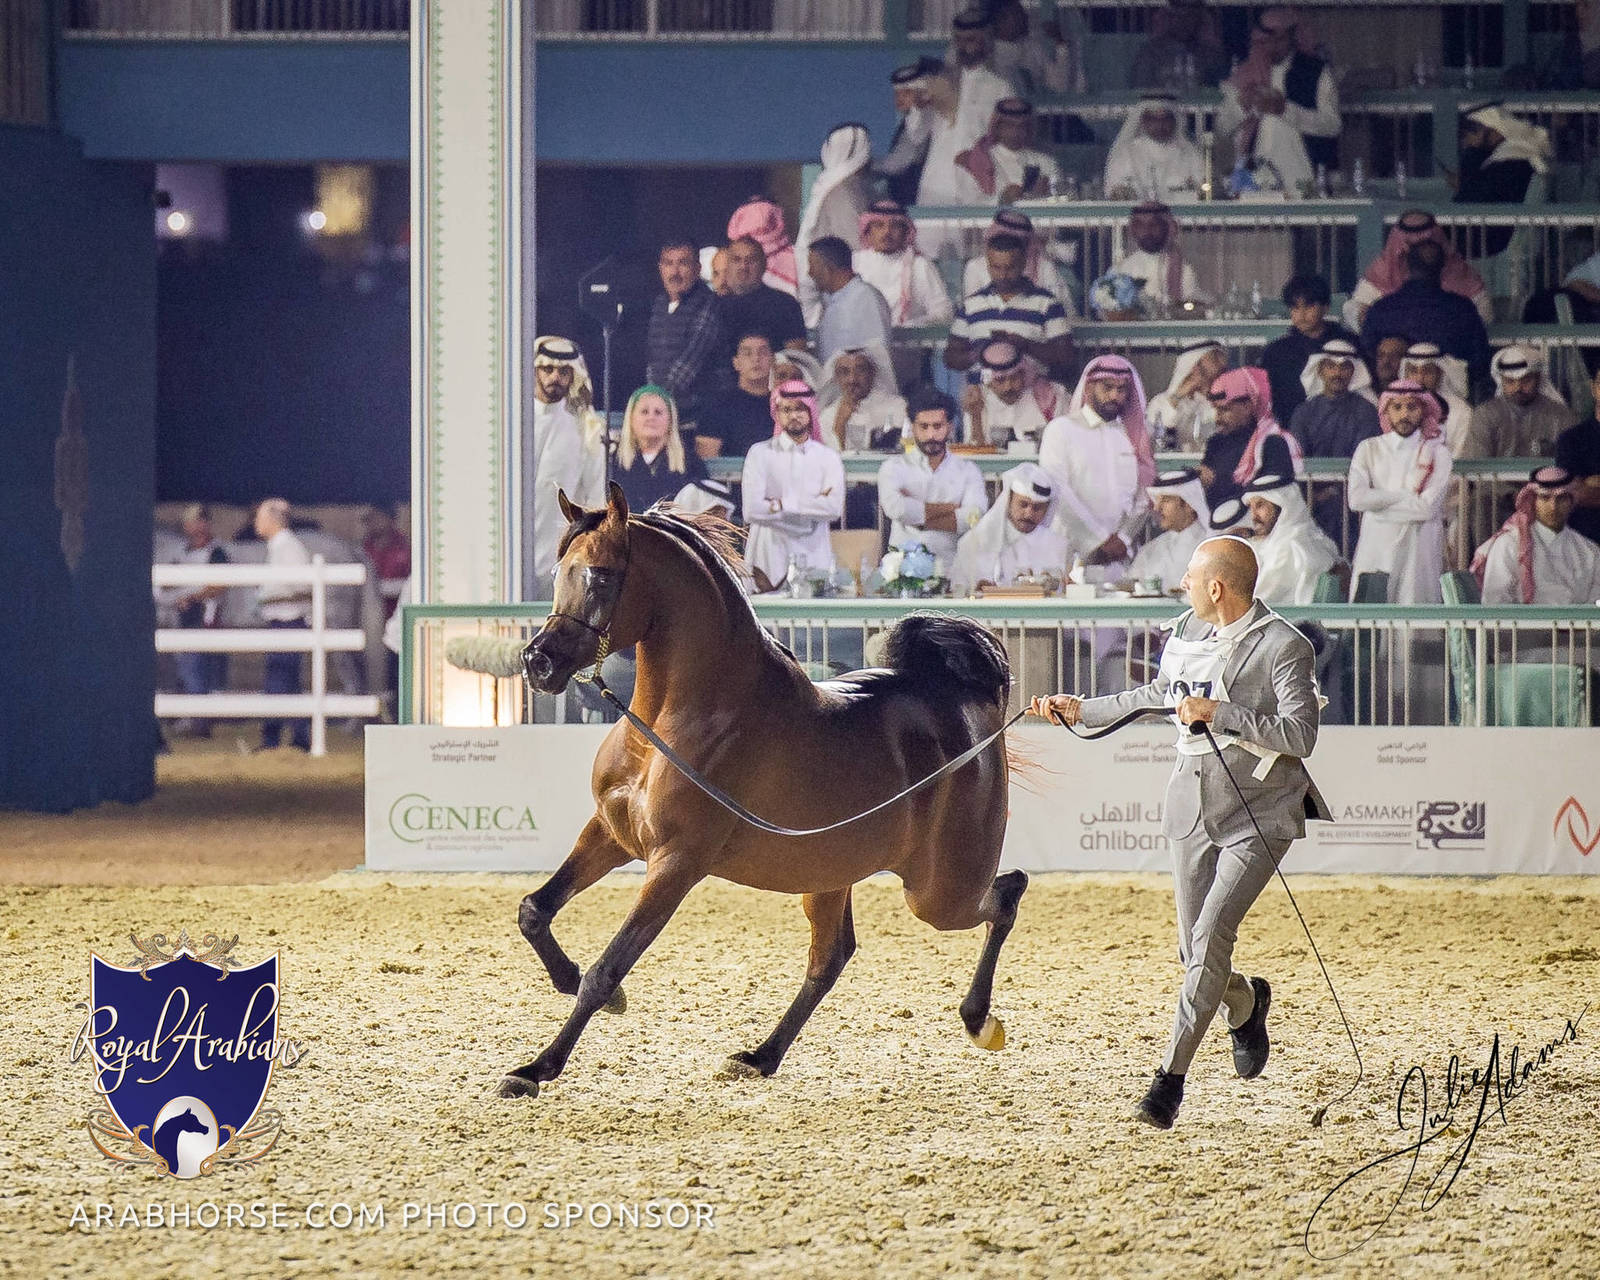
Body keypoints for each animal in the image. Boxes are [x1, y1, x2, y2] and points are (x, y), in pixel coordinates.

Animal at [501, 482, 1028, 1099]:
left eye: (603, 576)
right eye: (560, 569)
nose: (538, 663)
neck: (683, 719)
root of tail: (970, 703)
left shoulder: (676, 862)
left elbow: (608, 970)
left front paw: (535, 1069)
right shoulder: (611, 833)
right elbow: (534, 911)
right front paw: (572, 981)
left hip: (939, 892)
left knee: (1006, 894)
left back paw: (979, 1020)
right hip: (830, 874)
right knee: (830, 958)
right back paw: (759, 1056)